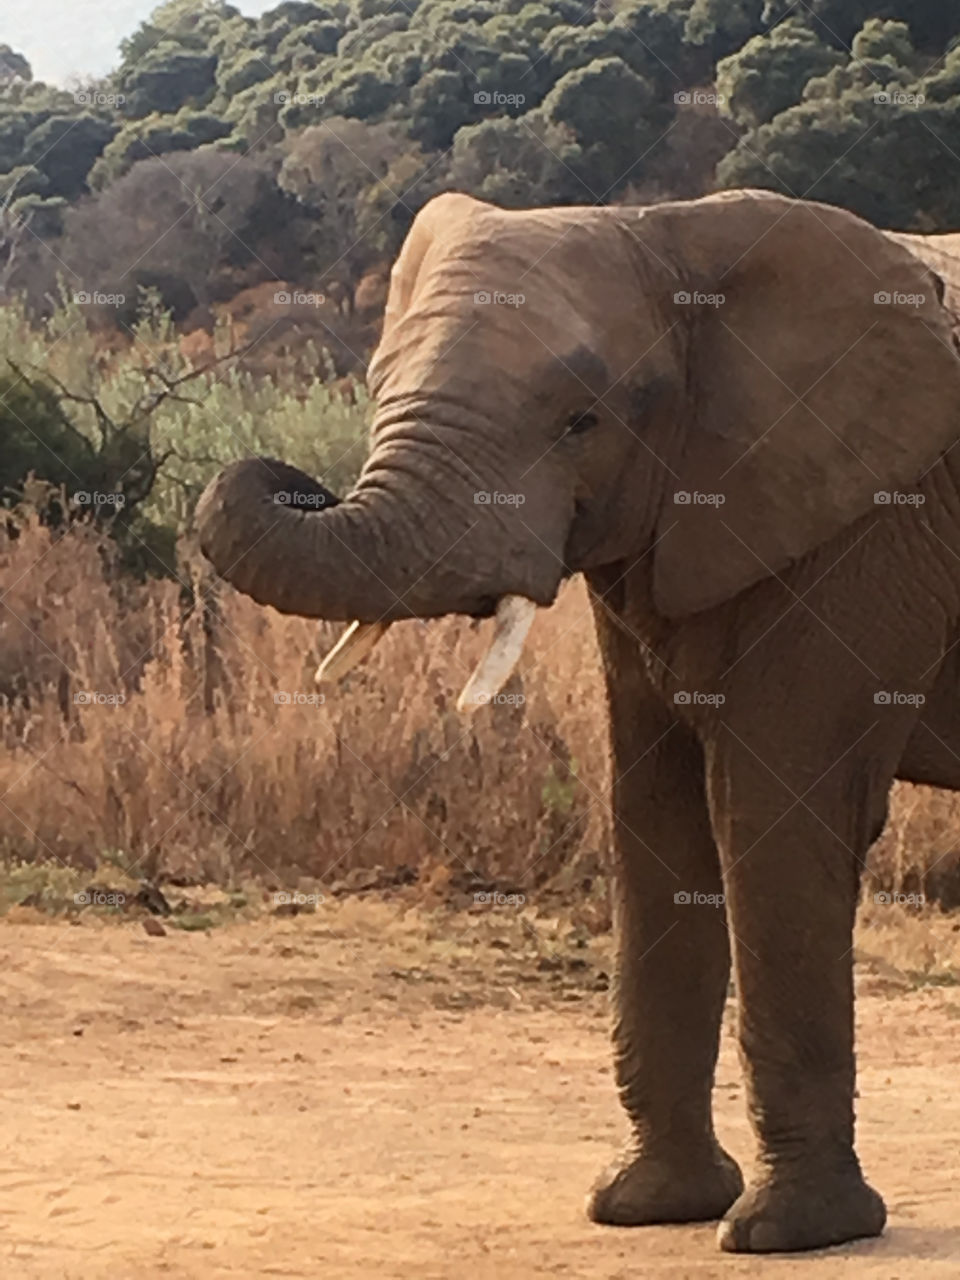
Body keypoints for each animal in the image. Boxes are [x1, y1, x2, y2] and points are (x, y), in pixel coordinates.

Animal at [196, 188, 960, 1254]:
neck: (672, 231)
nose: (281, 467)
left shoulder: (866, 524)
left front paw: (793, 1232)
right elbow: (652, 813)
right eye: (379, 383)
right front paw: (645, 1207)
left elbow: (774, 815)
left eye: (580, 422)